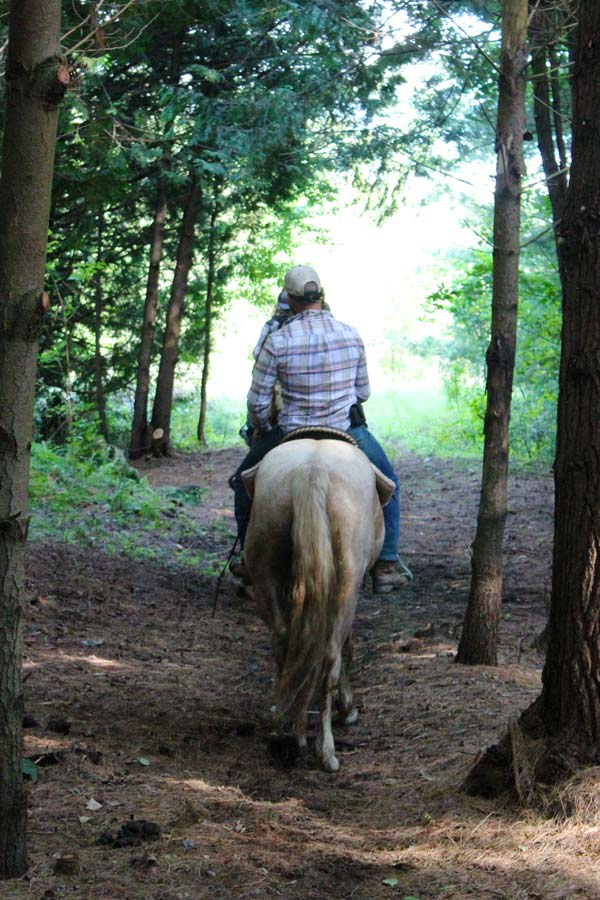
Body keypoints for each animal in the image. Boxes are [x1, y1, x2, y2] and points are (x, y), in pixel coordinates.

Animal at [241, 432, 396, 768]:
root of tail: (311, 473)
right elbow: (348, 644)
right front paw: (347, 708)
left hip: (266, 572)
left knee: (285, 644)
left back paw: (289, 730)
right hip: (345, 585)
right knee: (329, 656)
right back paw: (326, 750)